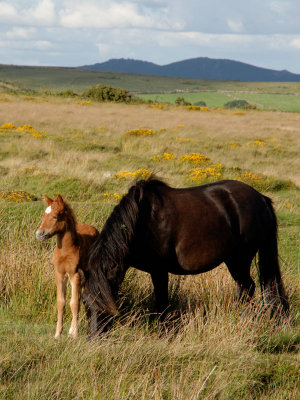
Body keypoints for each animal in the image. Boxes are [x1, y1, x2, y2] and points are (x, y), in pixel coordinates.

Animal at [35, 194, 98, 338]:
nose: (39, 234)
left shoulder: (74, 274)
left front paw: (75, 334)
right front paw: (58, 334)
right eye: (43, 215)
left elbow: (74, 303)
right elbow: (61, 302)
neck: (66, 251)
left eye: (55, 217)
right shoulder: (59, 274)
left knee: (83, 299)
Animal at [83, 180, 290, 336]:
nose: (94, 339)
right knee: (246, 288)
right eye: (85, 303)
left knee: (248, 287)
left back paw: (243, 320)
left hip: (239, 259)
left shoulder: (159, 271)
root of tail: (260, 198)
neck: (141, 221)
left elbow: (162, 303)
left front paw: (165, 334)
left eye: (105, 305)